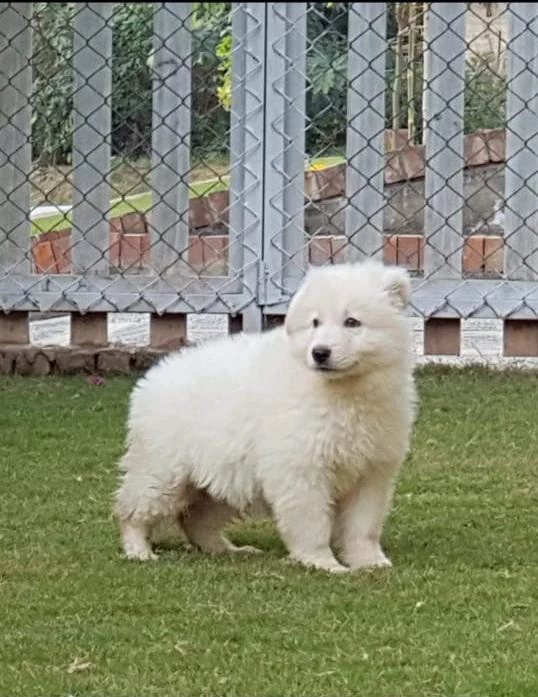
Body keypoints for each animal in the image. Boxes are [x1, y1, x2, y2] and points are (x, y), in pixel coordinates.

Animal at [112, 260, 414, 572]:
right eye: (315, 322)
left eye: (352, 322)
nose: (319, 353)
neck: (343, 391)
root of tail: (152, 379)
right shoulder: (302, 469)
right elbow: (312, 523)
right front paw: (323, 563)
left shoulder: (371, 472)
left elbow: (362, 526)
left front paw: (371, 562)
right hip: (162, 470)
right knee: (133, 510)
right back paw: (139, 550)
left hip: (224, 475)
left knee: (196, 518)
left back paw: (229, 550)